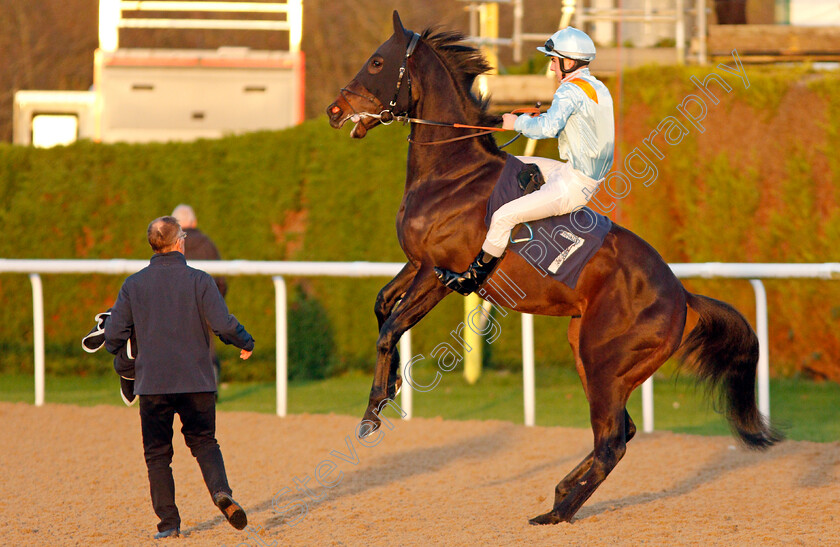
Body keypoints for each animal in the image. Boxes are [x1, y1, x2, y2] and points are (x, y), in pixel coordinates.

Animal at [324, 11, 776, 528]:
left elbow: (389, 328)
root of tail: (682, 296)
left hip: (603, 363)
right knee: (621, 430)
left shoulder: (439, 273)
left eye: (378, 61)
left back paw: (559, 509)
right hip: (591, 355)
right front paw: (393, 385)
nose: (334, 110)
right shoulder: (417, 263)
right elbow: (382, 306)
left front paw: (372, 412)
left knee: (612, 441)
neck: (452, 173)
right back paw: (561, 495)